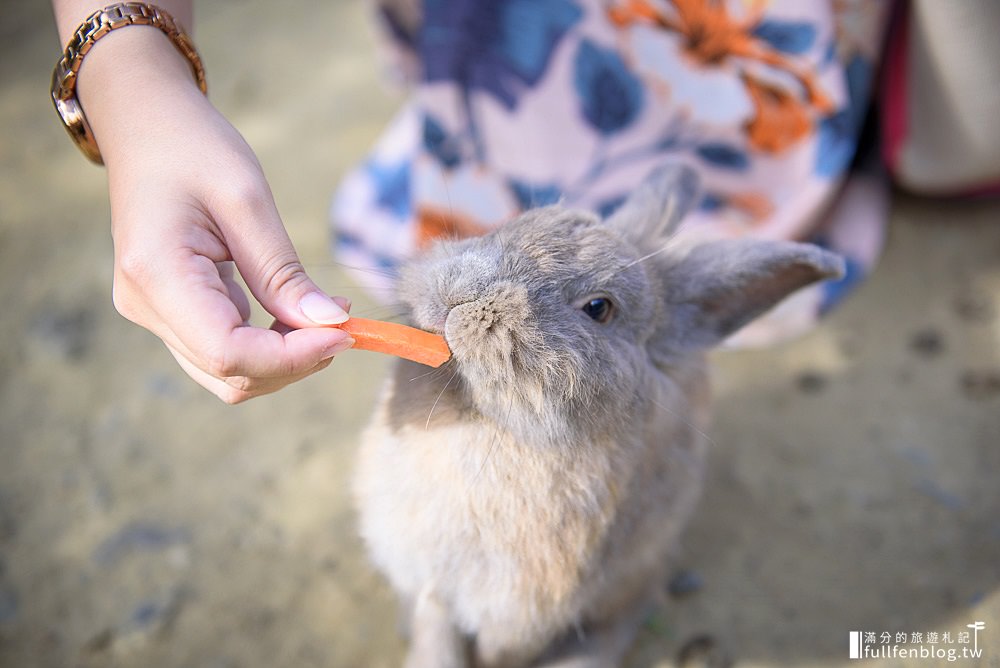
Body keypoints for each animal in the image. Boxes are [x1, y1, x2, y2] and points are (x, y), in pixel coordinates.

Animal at [352, 163, 844, 668]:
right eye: (516, 223)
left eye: (598, 308)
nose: (464, 292)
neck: (484, 420)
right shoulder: (432, 581)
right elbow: (436, 630)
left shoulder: (522, 608)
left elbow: (500, 650)